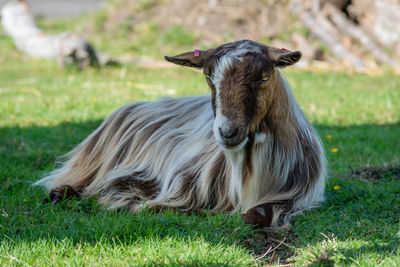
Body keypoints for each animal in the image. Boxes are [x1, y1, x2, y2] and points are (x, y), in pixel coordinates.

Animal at [36, 39, 326, 228]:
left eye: (264, 77)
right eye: (208, 77)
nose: (227, 132)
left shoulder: (296, 198)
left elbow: (253, 216)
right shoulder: (177, 180)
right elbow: (159, 204)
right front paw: (126, 203)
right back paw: (60, 194)